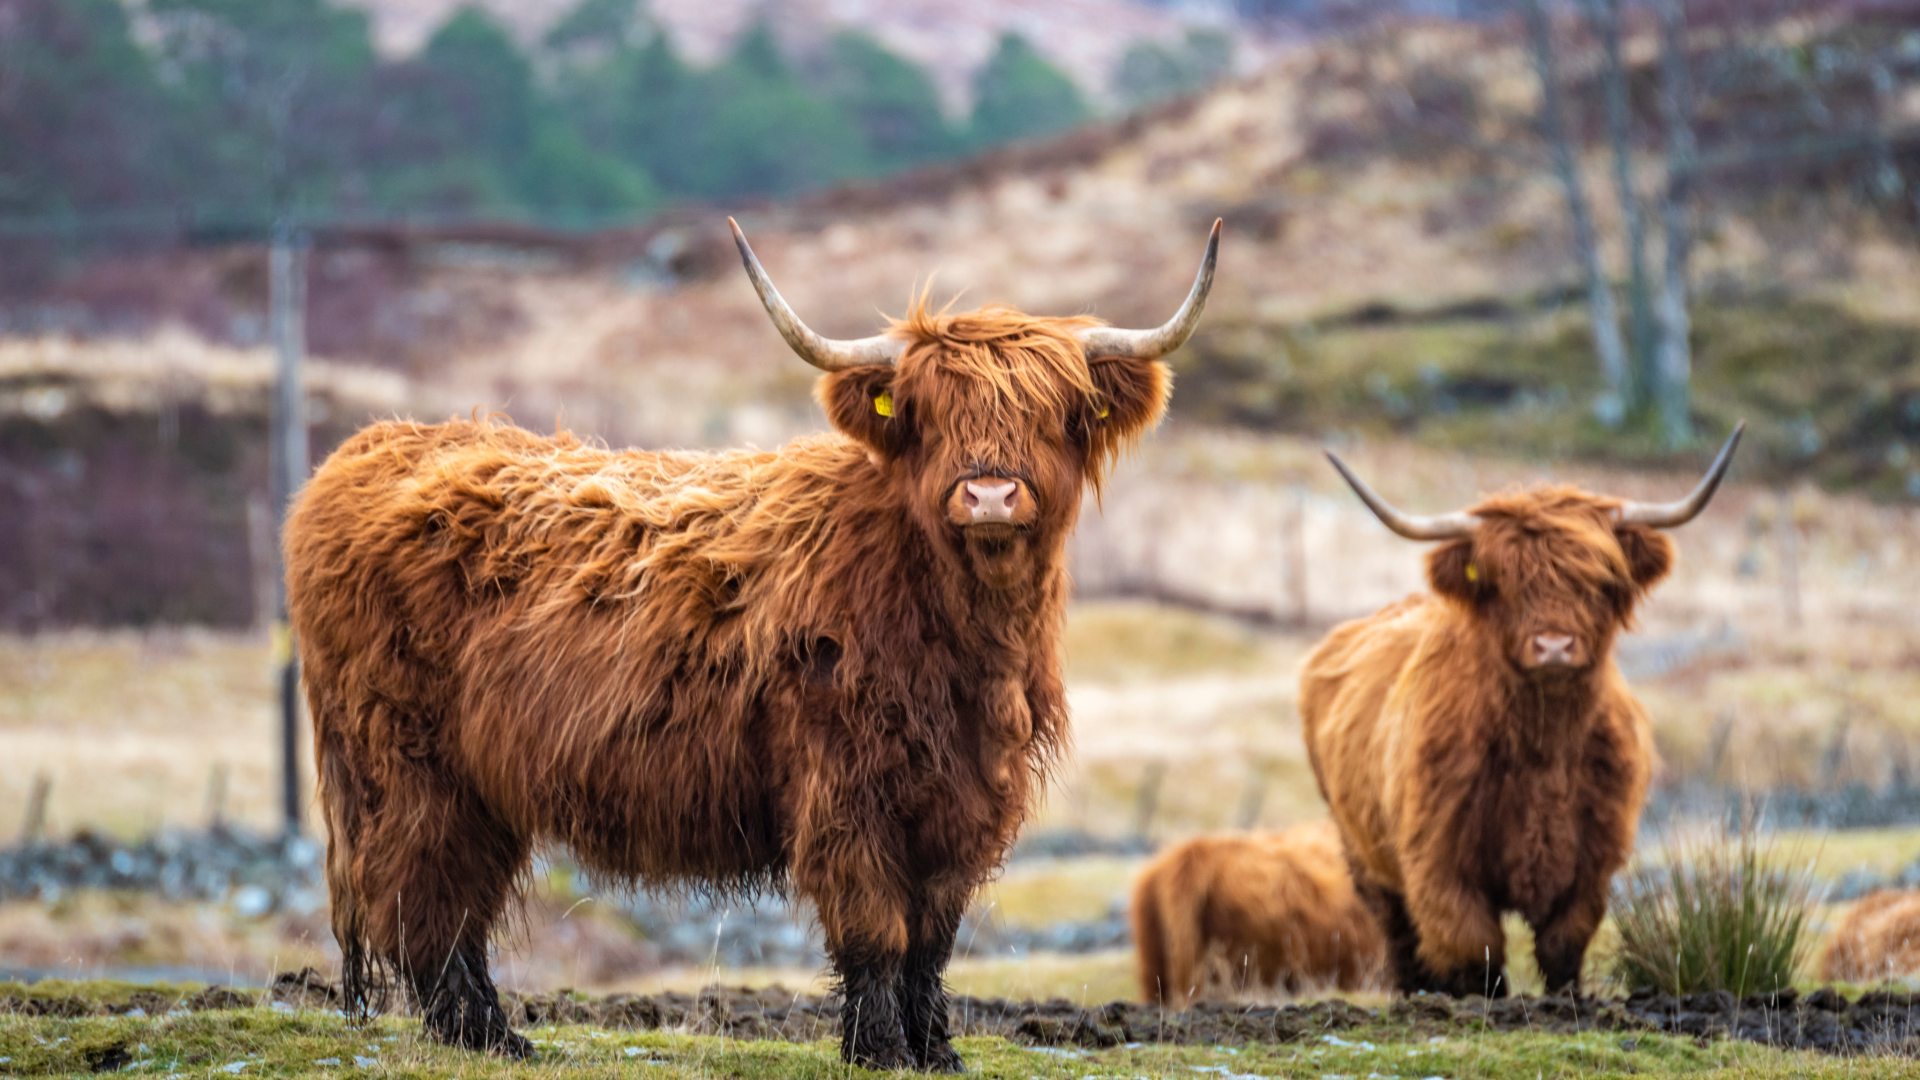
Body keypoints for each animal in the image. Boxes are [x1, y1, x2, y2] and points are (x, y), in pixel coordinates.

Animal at [284, 218, 1221, 1070]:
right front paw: (881, 1049)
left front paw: (936, 1051)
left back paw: (495, 1034)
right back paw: (483, 1035)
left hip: (479, 781)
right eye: (928, 412)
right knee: (426, 896)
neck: (962, 639)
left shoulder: (966, 795)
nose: (989, 495)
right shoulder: (843, 787)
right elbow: (878, 928)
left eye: (1051, 411)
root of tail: (368, 450)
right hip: (407, 763)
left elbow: (934, 933)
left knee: (454, 899)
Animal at [1298, 427, 1743, 998]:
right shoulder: (1439, 861)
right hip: (1364, 855)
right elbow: (1473, 950)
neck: (1543, 745)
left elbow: (1562, 946)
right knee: (1399, 938)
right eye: (1503, 581)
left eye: (1598, 580)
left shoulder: (1591, 862)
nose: (1554, 646)